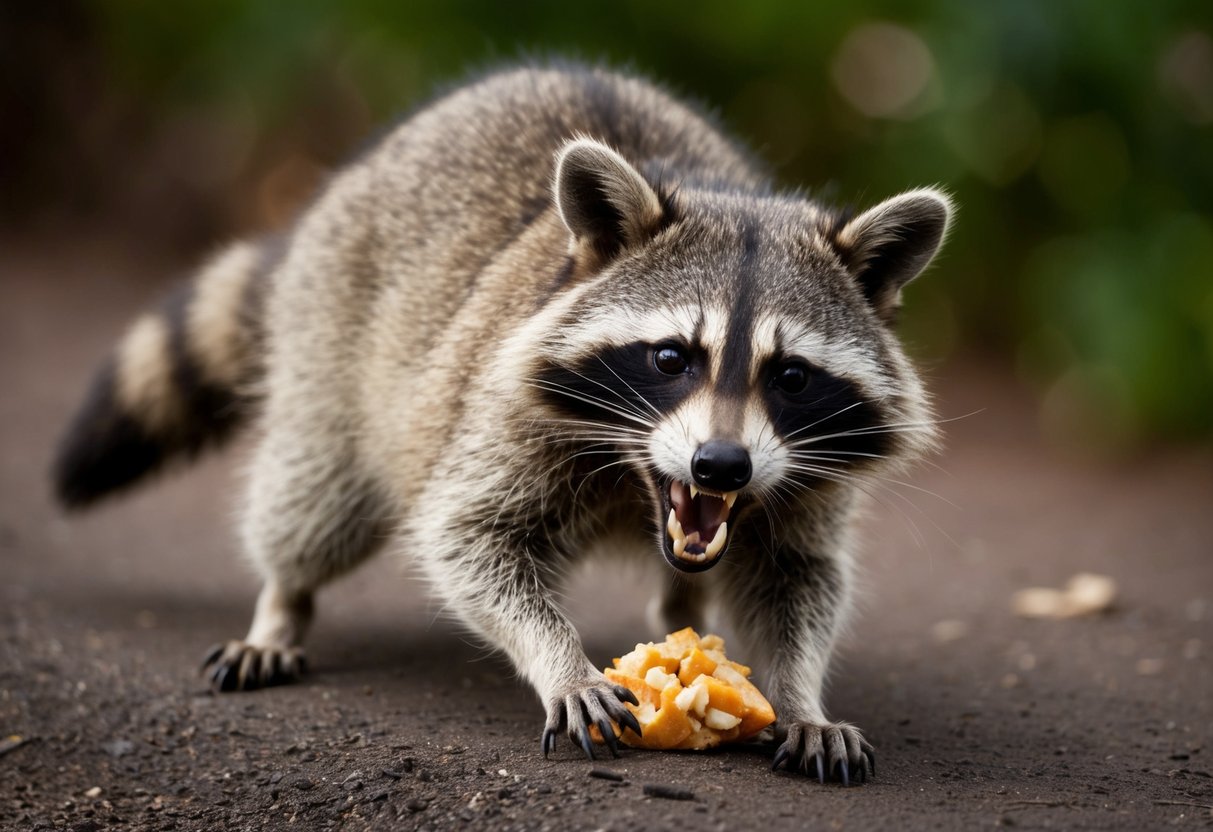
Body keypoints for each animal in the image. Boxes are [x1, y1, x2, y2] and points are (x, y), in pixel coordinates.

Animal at [54, 63, 951, 783]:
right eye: (671, 358)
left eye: (790, 376)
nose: (720, 467)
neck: (637, 476)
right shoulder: (497, 405)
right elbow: (469, 539)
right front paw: (559, 660)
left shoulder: (806, 476)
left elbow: (798, 577)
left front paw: (799, 692)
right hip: (331, 328)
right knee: (317, 494)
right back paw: (281, 598)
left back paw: (686, 614)